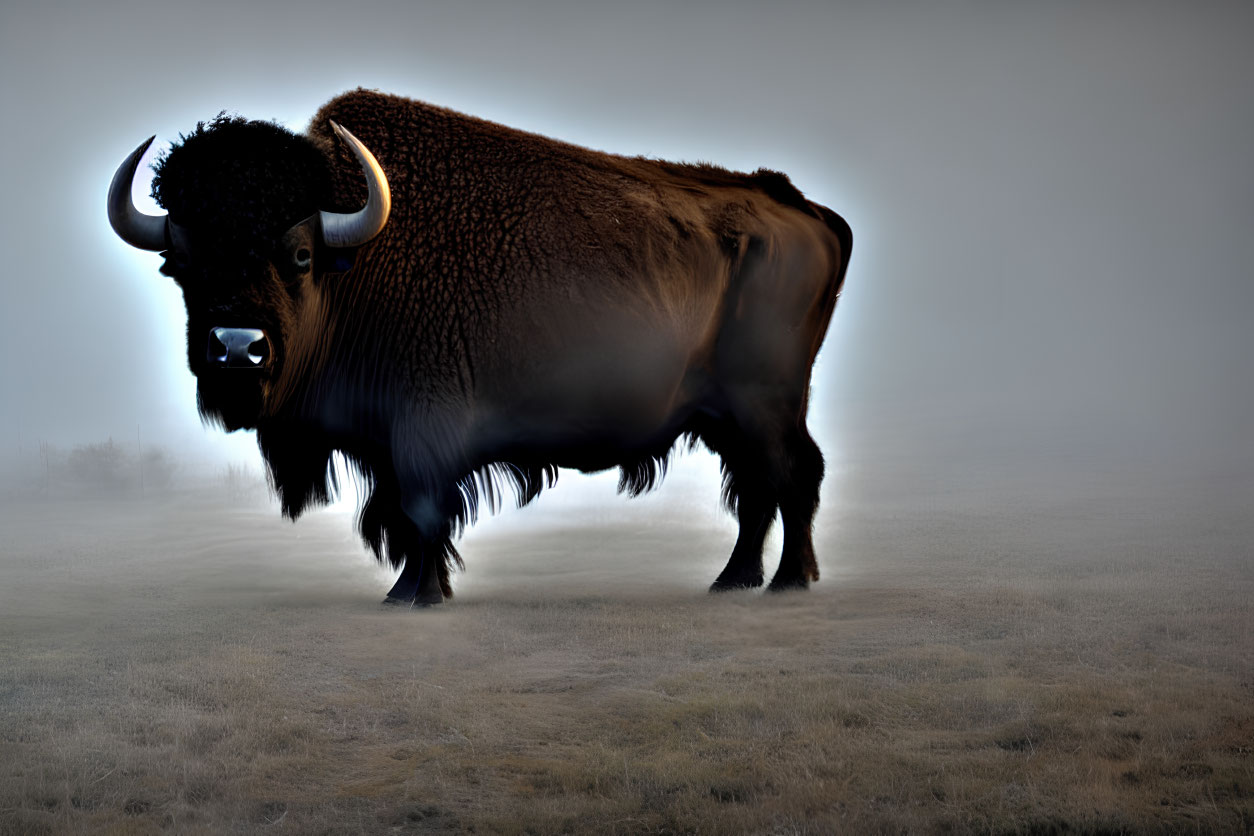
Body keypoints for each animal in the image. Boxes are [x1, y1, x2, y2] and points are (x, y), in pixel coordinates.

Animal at [110, 90, 852, 601]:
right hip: (723, 415)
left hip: (765, 404)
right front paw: (408, 590)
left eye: (298, 255)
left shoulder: (423, 429)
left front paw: (418, 596)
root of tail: (803, 207)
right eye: (180, 262)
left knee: (793, 473)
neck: (356, 264)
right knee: (757, 485)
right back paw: (734, 581)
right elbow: (404, 516)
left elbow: (420, 510)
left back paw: (790, 581)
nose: (237, 349)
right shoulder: (391, 440)